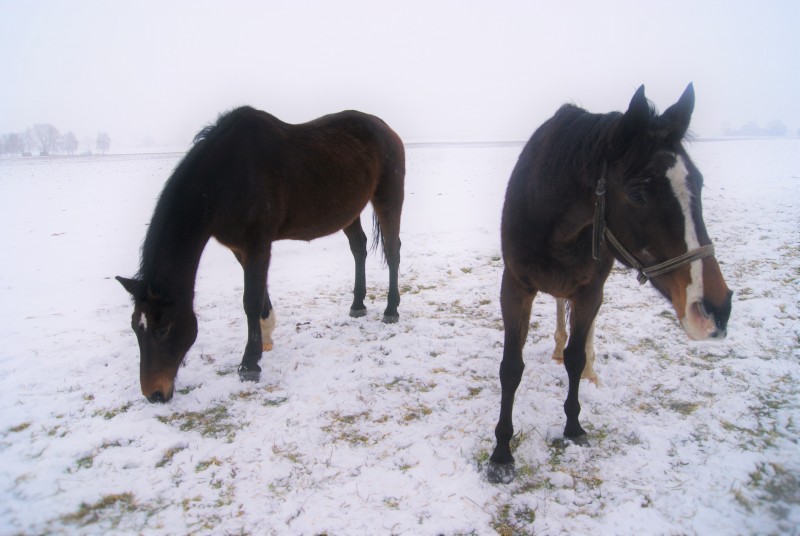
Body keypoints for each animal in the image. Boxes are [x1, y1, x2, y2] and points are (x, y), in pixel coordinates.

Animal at [117, 107, 406, 404]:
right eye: (135, 327)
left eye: (163, 329)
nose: (154, 394)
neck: (225, 178)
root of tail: (384, 128)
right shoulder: (241, 248)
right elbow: (260, 292)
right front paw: (266, 336)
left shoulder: (257, 244)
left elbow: (251, 300)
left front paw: (249, 363)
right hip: (349, 211)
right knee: (359, 248)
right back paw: (358, 304)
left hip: (388, 196)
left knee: (392, 250)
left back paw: (391, 309)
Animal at [488, 85, 732, 486]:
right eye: (637, 194)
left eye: (698, 182)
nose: (716, 308)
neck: (554, 221)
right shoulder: (516, 287)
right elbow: (511, 368)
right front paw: (502, 453)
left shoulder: (591, 292)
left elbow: (576, 357)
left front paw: (573, 426)